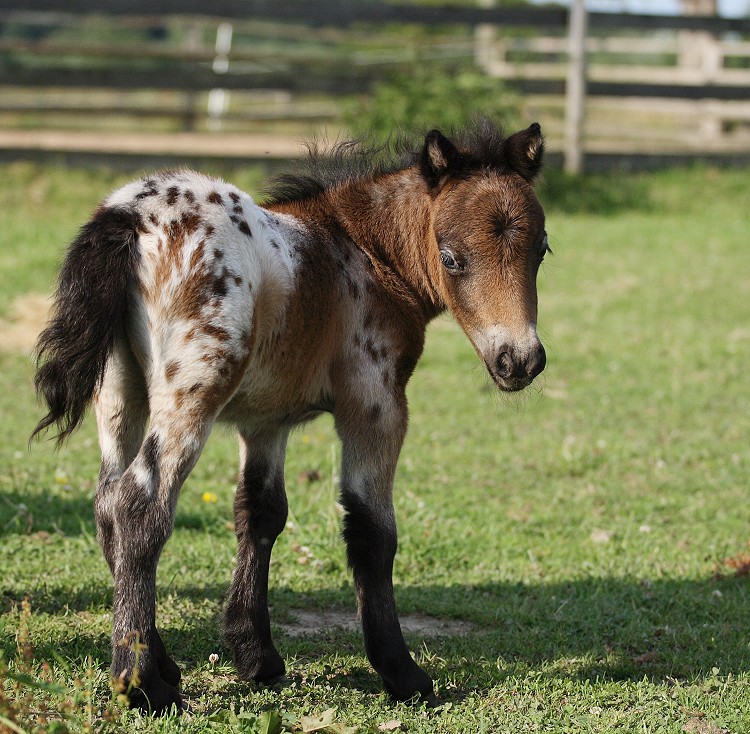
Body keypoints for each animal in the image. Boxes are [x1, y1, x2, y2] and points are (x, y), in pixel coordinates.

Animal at [33, 121, 552, 712]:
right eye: (452, 258)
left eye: (541, 250)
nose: (519, 361)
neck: (363, 254)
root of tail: (126, 215)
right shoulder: (375, 405)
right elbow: (373, 530)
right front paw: (403, 674)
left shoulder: (265, 422)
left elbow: (260, 514)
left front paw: (256, 655)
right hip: (191, 394)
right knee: (140, 506)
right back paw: (141, 682)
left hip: (120, 394)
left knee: (107, 506)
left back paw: (163, 665)